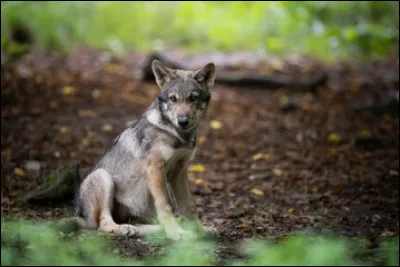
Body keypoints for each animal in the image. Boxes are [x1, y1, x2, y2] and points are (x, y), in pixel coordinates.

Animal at [69, 59, 219, 241]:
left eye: (193, 98)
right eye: (173, 99)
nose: (182, 120)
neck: (179, 136)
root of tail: (79, 215)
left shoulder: (180, 172)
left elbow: (190, 206)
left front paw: (201, 231)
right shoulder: (155, 168)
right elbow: (166, 205)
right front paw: (176, 233)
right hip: (102, 176)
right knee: (102, 224)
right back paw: (123, 229)